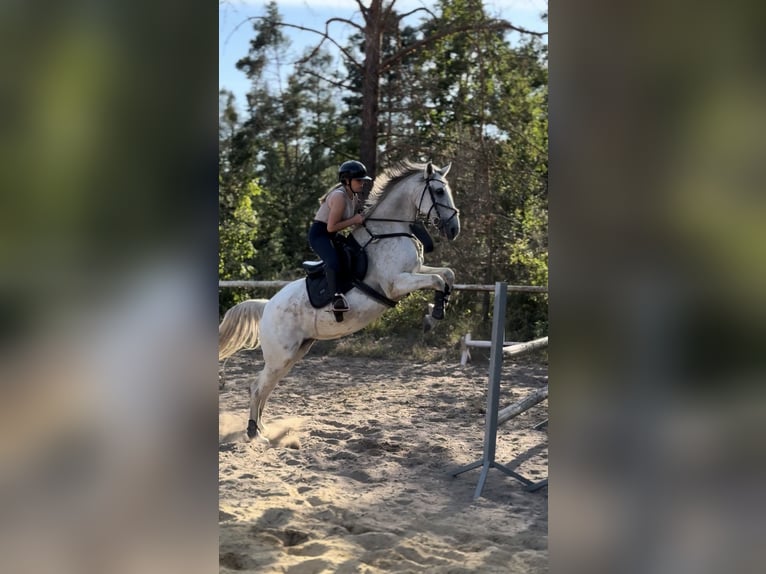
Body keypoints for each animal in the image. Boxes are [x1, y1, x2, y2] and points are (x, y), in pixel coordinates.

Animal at [218, 160, 461, 443]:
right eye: (439, 191)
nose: (454, 229)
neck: (389, 231)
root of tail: (267, 306)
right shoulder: (396, 283)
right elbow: (437, 279)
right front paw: (434, 316)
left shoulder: (415, 271)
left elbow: (446, 274)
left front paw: (437, 309)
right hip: (281, 355)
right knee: (257, 387)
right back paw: (253, 433)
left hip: (294, 354)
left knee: (265, 387)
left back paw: (262, 428)